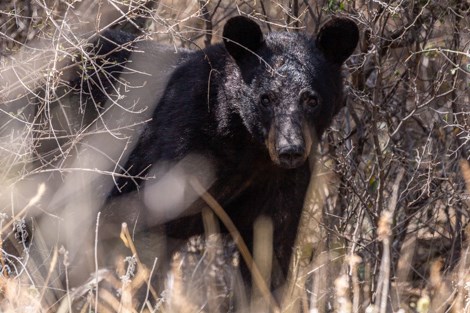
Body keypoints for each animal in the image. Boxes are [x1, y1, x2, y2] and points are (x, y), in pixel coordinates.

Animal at [97, 14, 358, 296]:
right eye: (266, 98)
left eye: (312, 100)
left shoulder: (282, 183)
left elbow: (270, 252)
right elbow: (143, 243)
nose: (290, 150)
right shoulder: (166, 161)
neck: (246, 147)